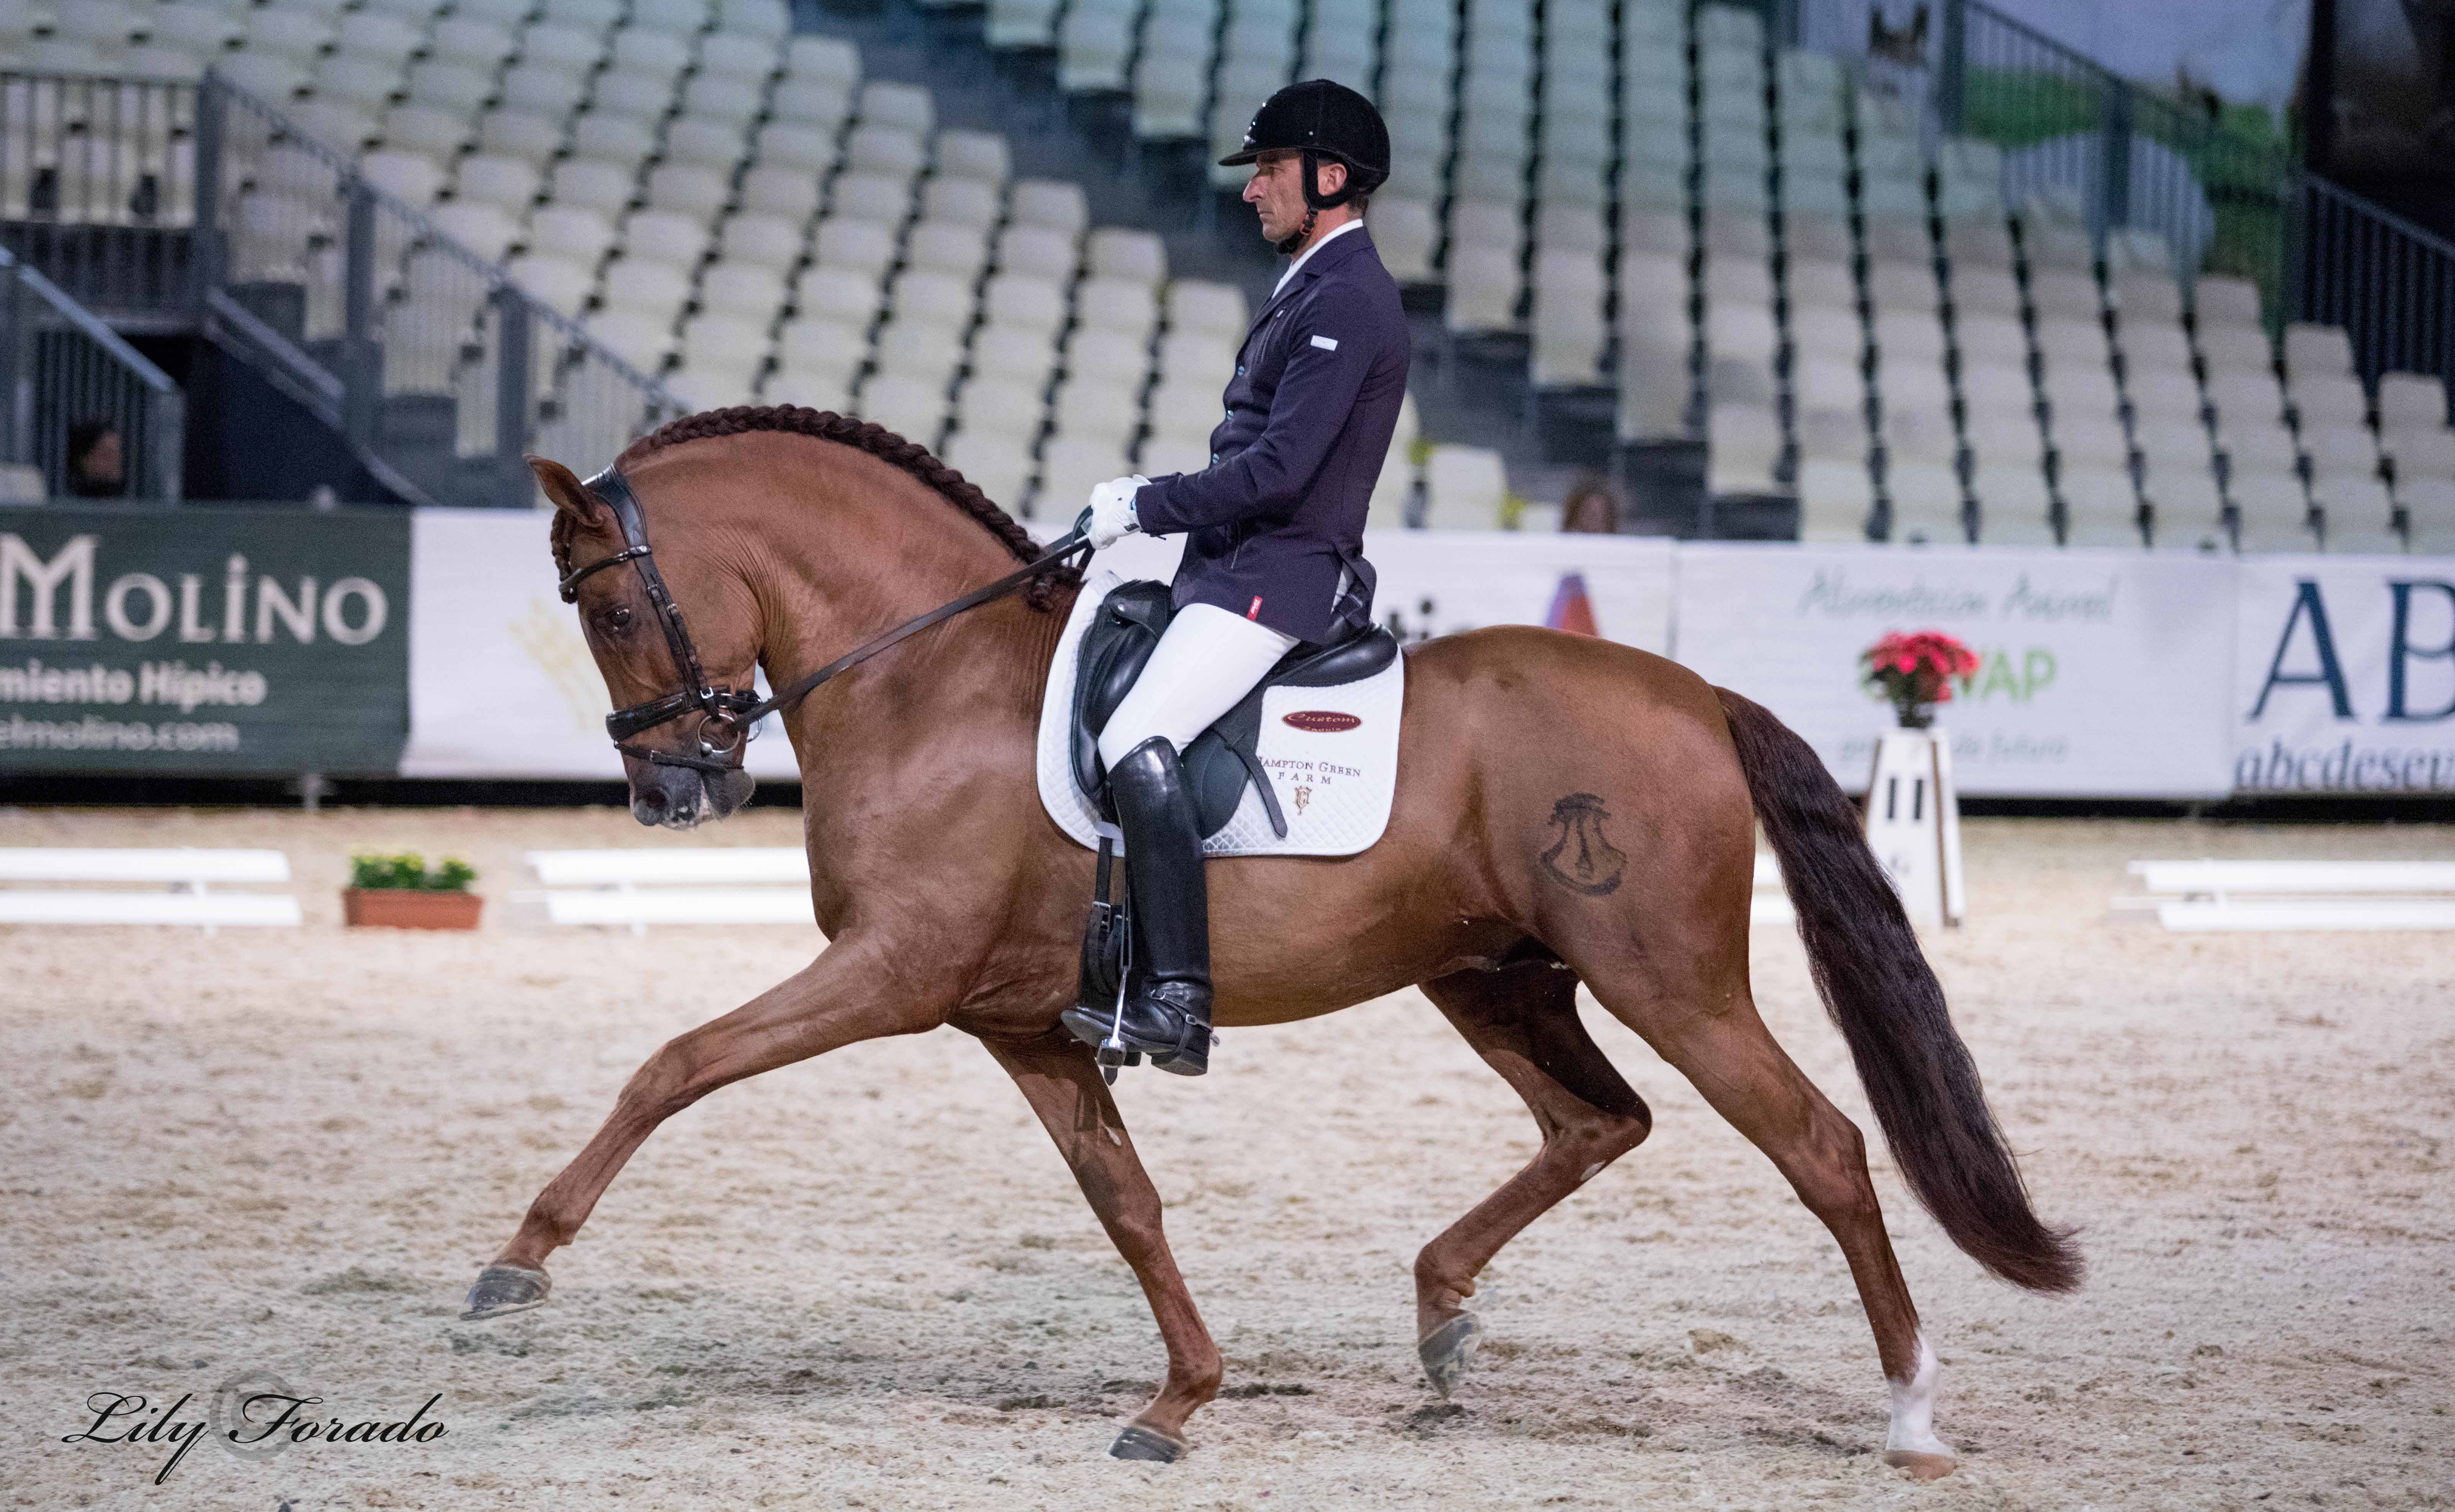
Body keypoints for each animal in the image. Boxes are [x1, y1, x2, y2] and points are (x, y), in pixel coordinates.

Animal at [461, 405, 2072, 1473]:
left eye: (608, 607)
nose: (673, 792)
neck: (928, 679)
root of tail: (1694, 695)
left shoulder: (892, 976)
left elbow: (675, 1064)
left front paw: (516, 1267)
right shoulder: (1022, 1023)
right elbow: (1125, 1201)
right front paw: (1181, 1397)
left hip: (1665, 979)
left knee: (1818, 1147)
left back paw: (1912, 1415)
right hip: (1491, 977)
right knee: (1595, 1123)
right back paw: (1440, 1323)